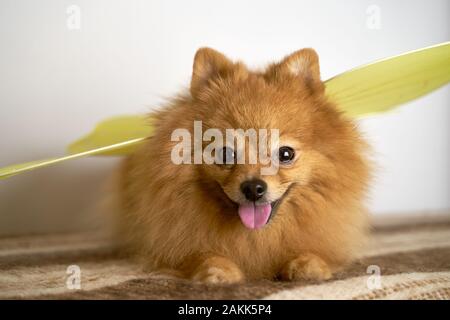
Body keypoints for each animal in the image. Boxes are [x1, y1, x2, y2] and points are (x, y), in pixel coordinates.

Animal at [114, 47, 370, 282]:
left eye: (286, 154)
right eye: (225, 153)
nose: (253, 188)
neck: (256, 235)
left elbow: (315, 252)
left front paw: (308, 265)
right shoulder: (175, 247)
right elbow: (201, 255)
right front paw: (218, 270)